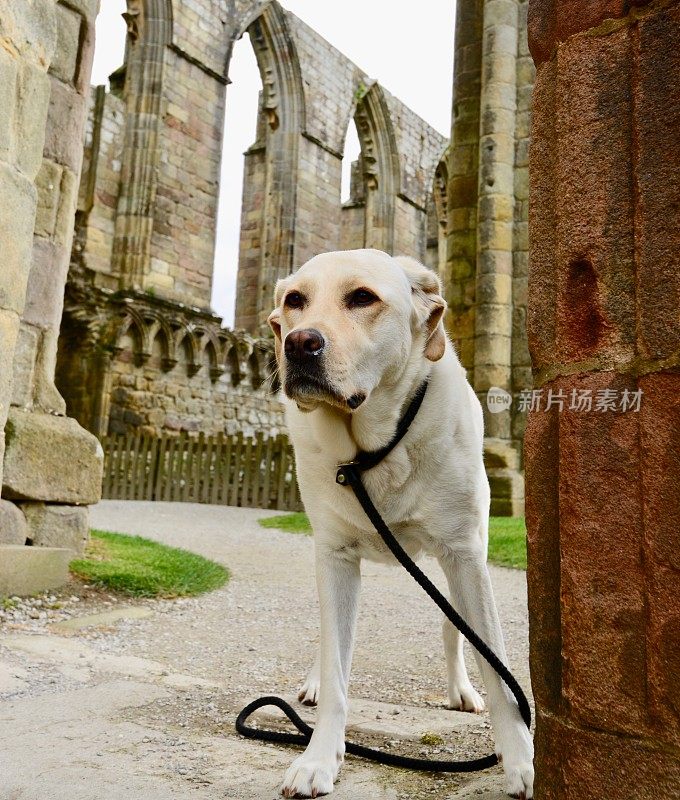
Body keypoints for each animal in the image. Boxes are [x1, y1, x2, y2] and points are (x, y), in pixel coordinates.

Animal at [268, 252, 532, 800]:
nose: (298, 342)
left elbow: (495, 663)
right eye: (295, 300)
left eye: (363, 297)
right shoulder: (334, 556)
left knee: (455, 630)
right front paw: (318, 758)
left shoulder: (465, 554)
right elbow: (338, 666)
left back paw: (461, 690)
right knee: (331, 640)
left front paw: (518, 757)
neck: (371, 450)